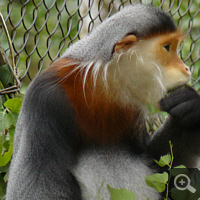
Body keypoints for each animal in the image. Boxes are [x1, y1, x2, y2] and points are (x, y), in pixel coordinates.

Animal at [5, 3, 200, 200]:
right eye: (167, 47)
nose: (186, 68)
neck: (101, 86)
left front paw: (191, 106)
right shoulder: (46, 99)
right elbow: (34, 192)